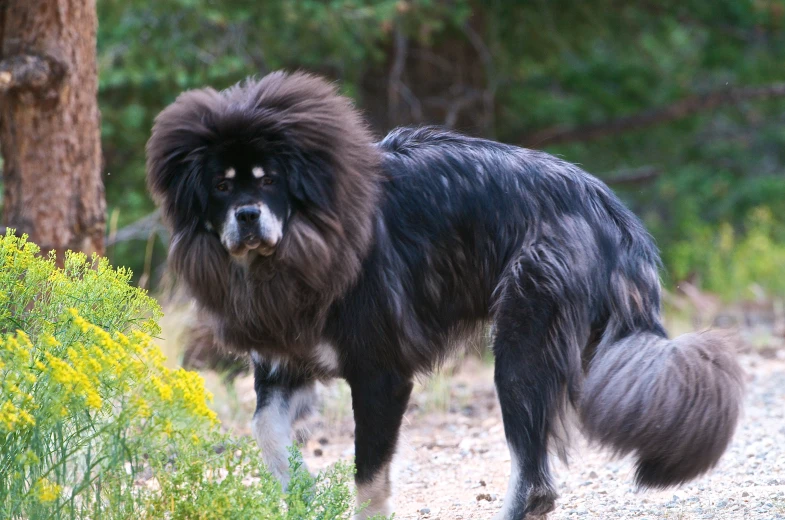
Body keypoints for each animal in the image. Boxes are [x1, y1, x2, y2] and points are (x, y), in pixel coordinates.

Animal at [145, 70, 740, 520]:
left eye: (269, 180)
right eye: (222, 186)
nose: (247, 216)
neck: (303, 240)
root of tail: (609, 210)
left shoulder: (381, 374)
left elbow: (369, 478)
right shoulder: (282, 366)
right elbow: (268, 435)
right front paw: (304, 495)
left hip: (520, 350)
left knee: (535, 483)